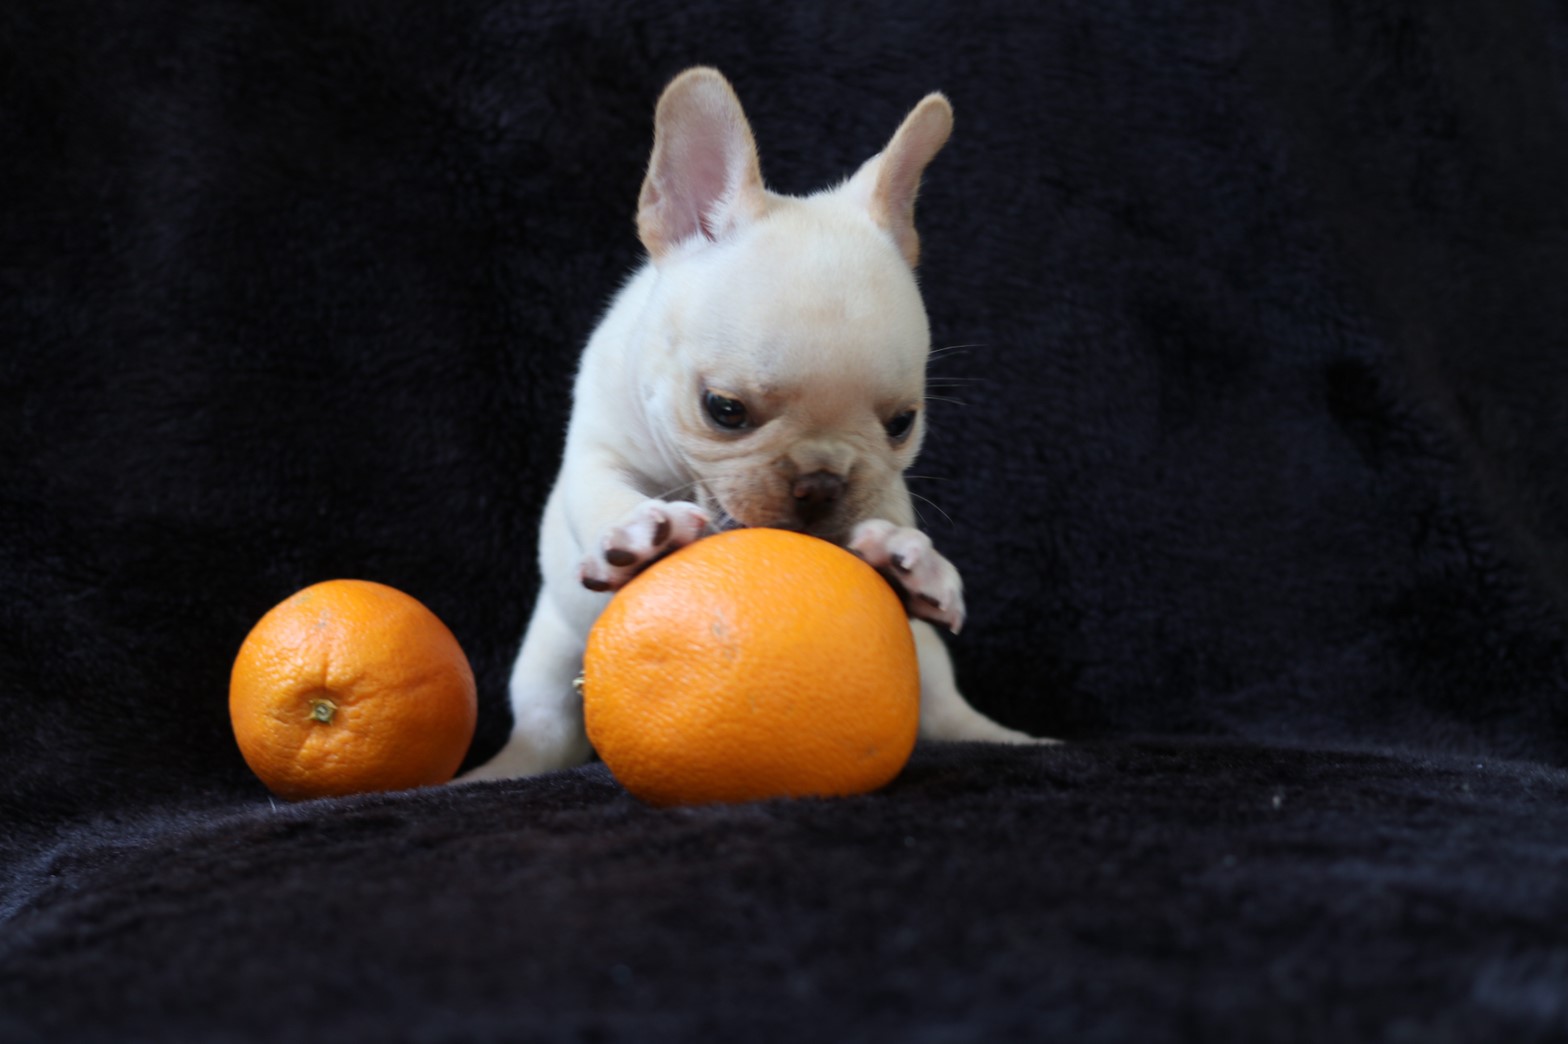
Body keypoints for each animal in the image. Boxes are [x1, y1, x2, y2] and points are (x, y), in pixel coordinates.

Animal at [465, 67, 1039, 781]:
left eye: (903, 423)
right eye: (724, 409)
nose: (821, 481)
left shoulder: (885, 488)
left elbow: (891, 514)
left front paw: (910, 561)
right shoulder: (596, 452)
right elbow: (604, 494)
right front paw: (638, 532)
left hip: (929, 665)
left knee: (946, 711)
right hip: (547, 663)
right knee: (543, 730)